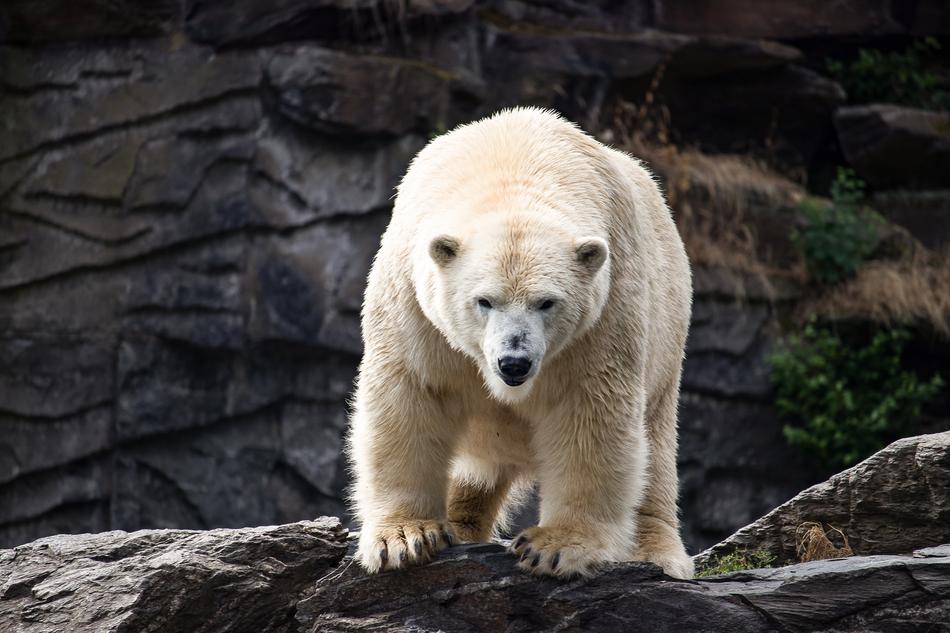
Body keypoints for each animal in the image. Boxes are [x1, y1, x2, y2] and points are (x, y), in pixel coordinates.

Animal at [347, 107, 694, 579]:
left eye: (546, 302)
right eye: (484, 301)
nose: (514, 362)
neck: (514, 162)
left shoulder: (603, 312)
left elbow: (590, 413)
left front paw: (556, 547)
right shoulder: (414, 306)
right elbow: (408, 397)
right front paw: (404, 538)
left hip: (666, 337)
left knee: (654, 450)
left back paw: (657, 553)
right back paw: (460, 522)